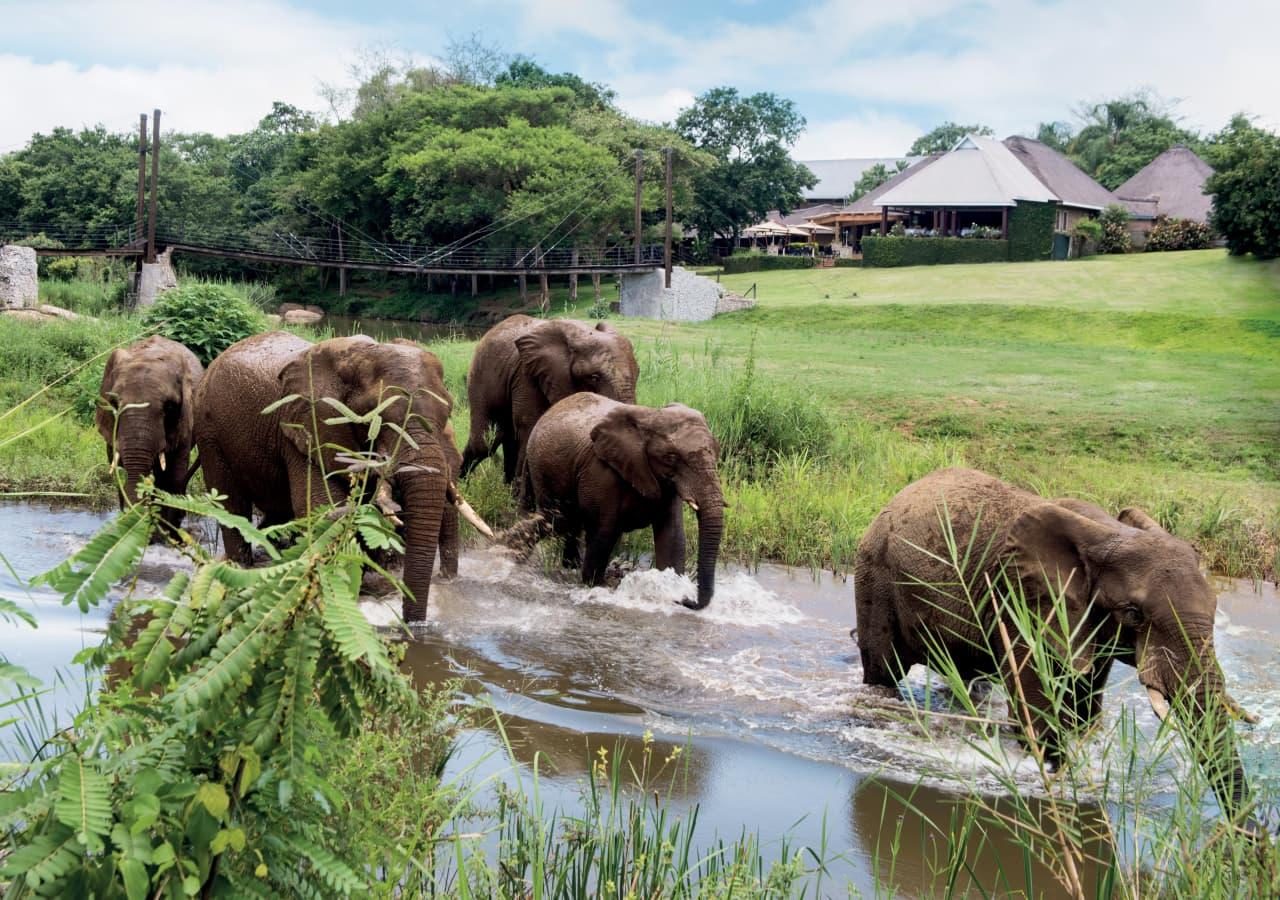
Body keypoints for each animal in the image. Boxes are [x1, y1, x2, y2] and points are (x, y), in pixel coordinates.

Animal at [96, 335, 204, 535]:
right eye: (114, 403)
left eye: (169, 407)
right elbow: (118, 470)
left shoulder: (185, 420)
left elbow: (174, 473)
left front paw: (166, 533)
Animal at [192, 335, 486, 622]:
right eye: (373, 414)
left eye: (448, 411)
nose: (415, 623)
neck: (361, 353)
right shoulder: (307, 429)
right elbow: (322, 507)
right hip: (208, 431)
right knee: (232, 506)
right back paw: (240, 565)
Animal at [460, 314, 640, 499]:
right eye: (594, 377)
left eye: (638, 373)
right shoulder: (527, 375)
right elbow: (531, 426)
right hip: (481, 374)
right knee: (486, 441)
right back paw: (462, 487)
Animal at [519, 391, 721, 609]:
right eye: (671, 457)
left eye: (716, 451)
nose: (687, 600)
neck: (652, 416)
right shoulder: (600, 472)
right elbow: (604, 532)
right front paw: (596, 586)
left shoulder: (669, 486)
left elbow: (673, 536)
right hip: (541, 469)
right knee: (560, 520)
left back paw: (570, 565)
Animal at [855, 471, 1254, 824]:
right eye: (1133, 614)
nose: (1243, 834)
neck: (1107, 534)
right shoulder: (1018, 601)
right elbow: (1037, 715)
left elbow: (1083, 708)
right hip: (874, 575)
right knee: (883, 672)